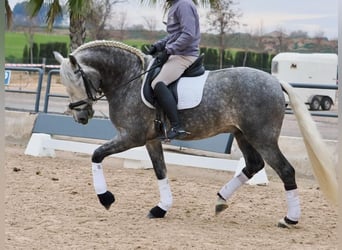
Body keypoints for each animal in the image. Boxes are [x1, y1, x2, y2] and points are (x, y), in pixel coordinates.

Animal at [53, 40, 336, 229]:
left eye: (76, 81)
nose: (81, 117)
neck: (129, 79)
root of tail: (275, 82)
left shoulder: (131, 136)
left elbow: (96, 154)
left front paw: (106, 198)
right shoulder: (151, 140)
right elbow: (160, 171)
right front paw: (161, 209)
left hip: (262, 137)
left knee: (285, 170)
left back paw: (290, 219)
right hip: (243, 134)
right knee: (253, 165)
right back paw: (221, 200)